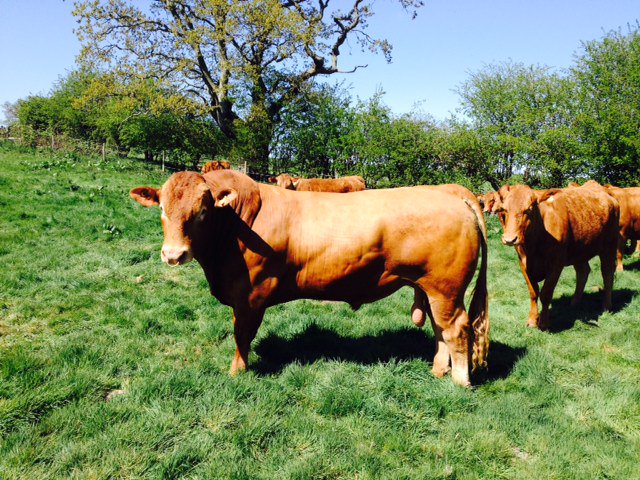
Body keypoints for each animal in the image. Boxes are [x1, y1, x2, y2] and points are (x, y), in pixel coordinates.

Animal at [130, 170, 489, 387]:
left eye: (203, 210)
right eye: (162, 208)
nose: (174, 254)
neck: (235, 226)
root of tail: (451, 193)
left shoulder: (250, 295)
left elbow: (242, 335)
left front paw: (237, 372)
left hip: (445, 289)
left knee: (456, 329)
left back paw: (460, 381)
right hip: (432, 290)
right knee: (440, 329)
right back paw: (438, 369)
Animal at [495, 183, 619, 330]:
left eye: (528, 210)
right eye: (504, 210)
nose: (510, 239)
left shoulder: (556, 265)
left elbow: (545, 294)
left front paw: (543, 323)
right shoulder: (523, 264)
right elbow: (533, 292)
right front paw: (532, 320)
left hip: (609, 246)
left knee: (607, 274)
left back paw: (606, 306)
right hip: (579, 250)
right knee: (583, 272)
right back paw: (574, 303)